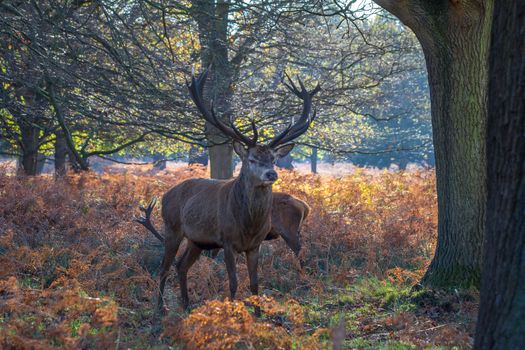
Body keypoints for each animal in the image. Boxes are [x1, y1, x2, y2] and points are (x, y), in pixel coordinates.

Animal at [140, 69, 320, 310]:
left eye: (273, 159)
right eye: (252, 159)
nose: (271, 174)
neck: (248, 225)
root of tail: (166, 194)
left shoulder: (254, 245)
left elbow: (254, 283)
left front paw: (258, 312)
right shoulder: (226, 241)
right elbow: (233, 282)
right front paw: (232, 311)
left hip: (197, 240)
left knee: (181, 265)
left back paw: (186, 304)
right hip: (172, 227)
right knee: (164, 267)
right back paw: (161, 308)